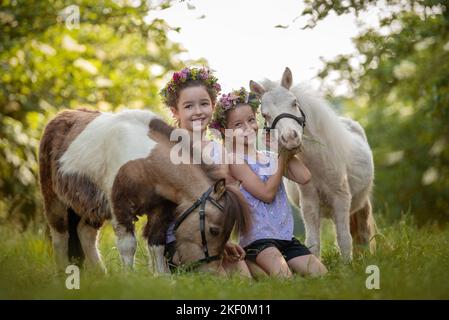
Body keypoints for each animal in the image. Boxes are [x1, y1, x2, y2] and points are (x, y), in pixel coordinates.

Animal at [38, 109, 250, 272]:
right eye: (214, 230)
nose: (212, 272)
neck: (144, 161)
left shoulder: (160, 211)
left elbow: (157, 245)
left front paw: (163, 279)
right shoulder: (120, 208)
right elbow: (128, 246)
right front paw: (129, 279)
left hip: (90, 206)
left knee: (85, 234)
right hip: (55, 201)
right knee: (60, 237)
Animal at [250, 67, 376, 260]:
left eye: (294, 102)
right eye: (265, 115)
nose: (291, 138)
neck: (318, 164)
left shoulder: (341, 199)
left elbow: (345, 240)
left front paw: (347, 265)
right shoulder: (309, 203)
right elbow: (313, 243)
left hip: (361, 203)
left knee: (363, 231)